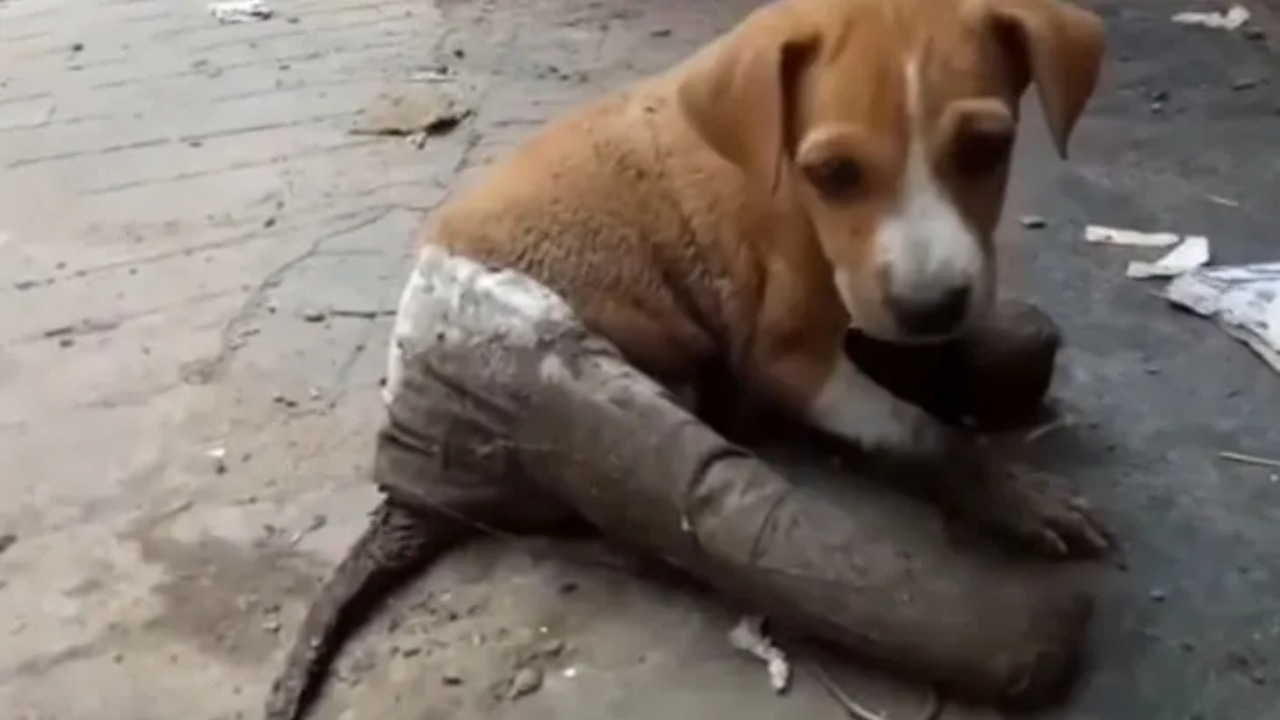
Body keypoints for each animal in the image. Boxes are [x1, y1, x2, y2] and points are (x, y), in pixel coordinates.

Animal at [424, 0, 1105, 548]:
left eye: (987, 149)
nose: (932, 309)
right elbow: (914, 429)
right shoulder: (788, 357)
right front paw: (1003, 489)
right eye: (834, 173)